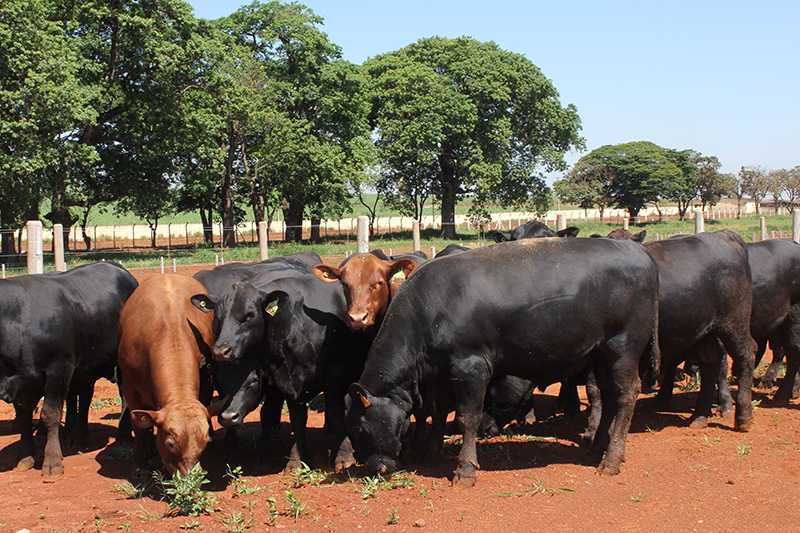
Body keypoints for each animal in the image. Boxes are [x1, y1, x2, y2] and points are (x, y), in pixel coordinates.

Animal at [0, 264, 138, 476]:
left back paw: (122, 434)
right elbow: (23, 417)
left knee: (124, 395)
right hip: (86, 368)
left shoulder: (59, 370)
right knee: (84, 397)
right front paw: (25, 456)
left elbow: (50, 414)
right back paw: (78, 434)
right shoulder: (23, 384)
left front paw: (52, 461)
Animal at [115, 274, 223, 478]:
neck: (171, 330)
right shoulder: (130, 387)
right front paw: (140, 464)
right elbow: (139, 427)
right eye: (170, 444)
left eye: (203, 443)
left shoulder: (205, 383)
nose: (189, 480)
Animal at [194, 274, 372, 470]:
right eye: (218, 317)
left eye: (249, 315)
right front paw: (296, 459)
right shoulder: (289, 383)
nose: (221, 351)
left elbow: (337, 414)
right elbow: (298, 419)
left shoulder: (337, 378)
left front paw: (343, 455)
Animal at [346, 238, 660, 486]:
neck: (429, 308)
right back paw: (597, 449)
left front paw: (465, 470)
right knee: (608, 396)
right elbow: (438, 411)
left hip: (623, 347)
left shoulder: (471, 366)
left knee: (626, 395)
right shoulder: (443, 371)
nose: (373, 469)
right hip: (600, 354)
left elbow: (467, 418)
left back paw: (612, 459)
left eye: (359, 429)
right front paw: (431, 452)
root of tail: (637, 249)